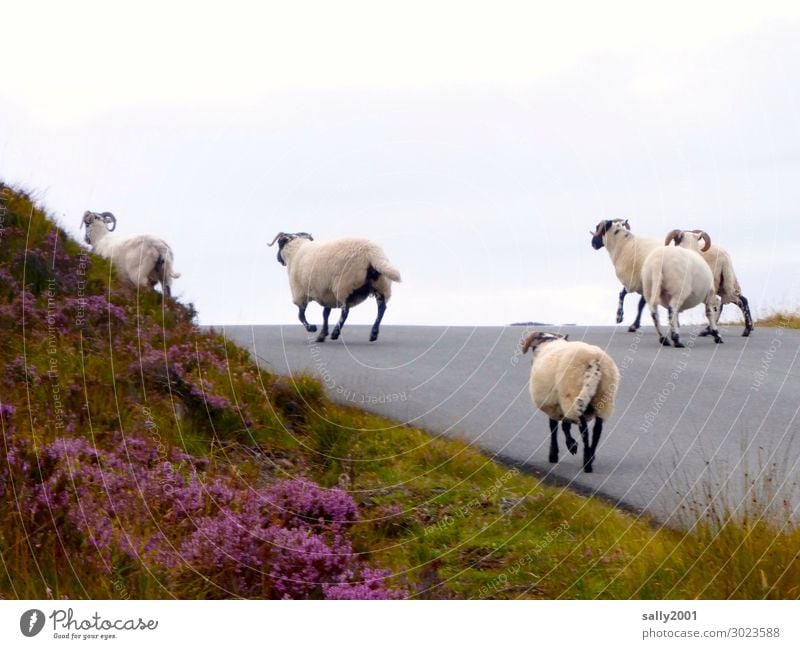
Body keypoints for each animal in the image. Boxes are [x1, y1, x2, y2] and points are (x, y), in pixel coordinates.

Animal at [520, 332, 620, 474]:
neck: (549, 342)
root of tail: (593, 360)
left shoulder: (554, 403)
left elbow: (556, 427)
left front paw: (557, 453)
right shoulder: (559, 404)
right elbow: (563, 425)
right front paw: (569, 446)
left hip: (571, 394)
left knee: (584, 430)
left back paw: (587, 464)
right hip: (603, 397)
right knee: (597, 430)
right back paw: (591, 457)